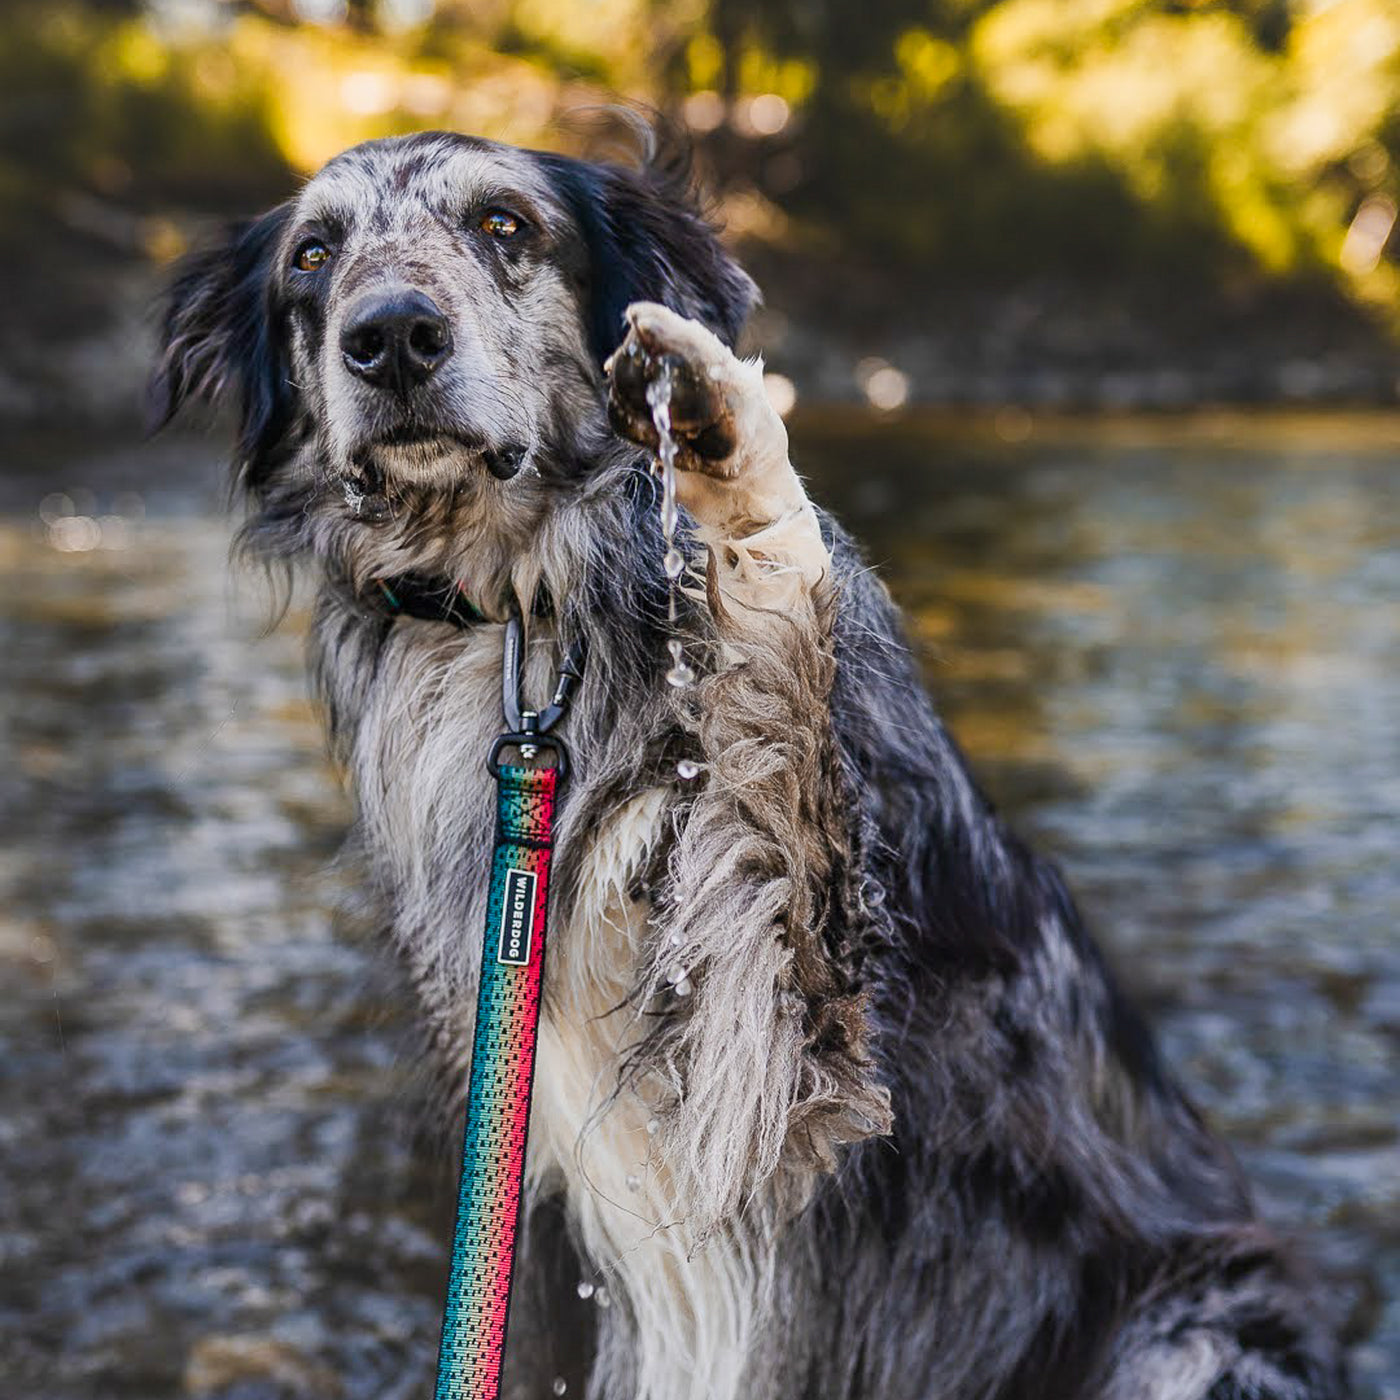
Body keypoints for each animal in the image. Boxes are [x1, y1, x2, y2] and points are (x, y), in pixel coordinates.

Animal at [153, 123, 1344, 1400]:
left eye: (502, 224)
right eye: (312, 257)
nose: (390, 336)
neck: (527, 612)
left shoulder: (795, 1048)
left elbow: (775, 700)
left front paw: (727, 452)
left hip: (1189, 1333)